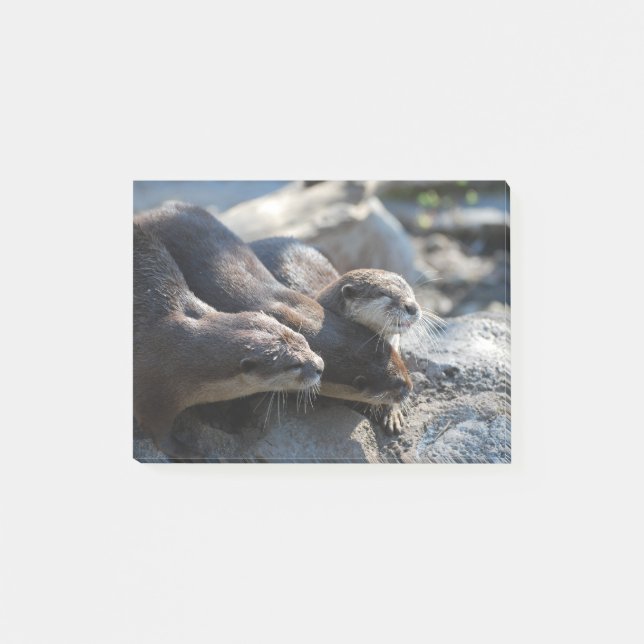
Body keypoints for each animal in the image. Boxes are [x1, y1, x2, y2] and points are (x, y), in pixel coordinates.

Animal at [133, 224, 324, 460]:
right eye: (295, 364)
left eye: (304, 341)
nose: (320, 366)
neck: (177, 355)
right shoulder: (152, 390)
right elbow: (159, 433)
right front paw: (188, 451)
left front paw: (219, 417)